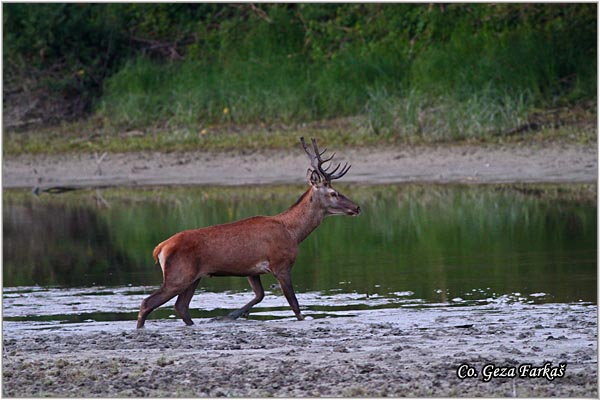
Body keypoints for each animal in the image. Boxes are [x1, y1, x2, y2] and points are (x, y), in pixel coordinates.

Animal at [137, 138, 360, 328]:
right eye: (333, 193)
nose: (357, 207)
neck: (293, 232)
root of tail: (160, 248)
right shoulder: (281, 264)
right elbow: (294, 305)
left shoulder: (252, 270)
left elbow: (259, 295)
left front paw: (230, 316)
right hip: (178, 275)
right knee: (148, 303)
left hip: (194, 277)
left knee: (181, 307)